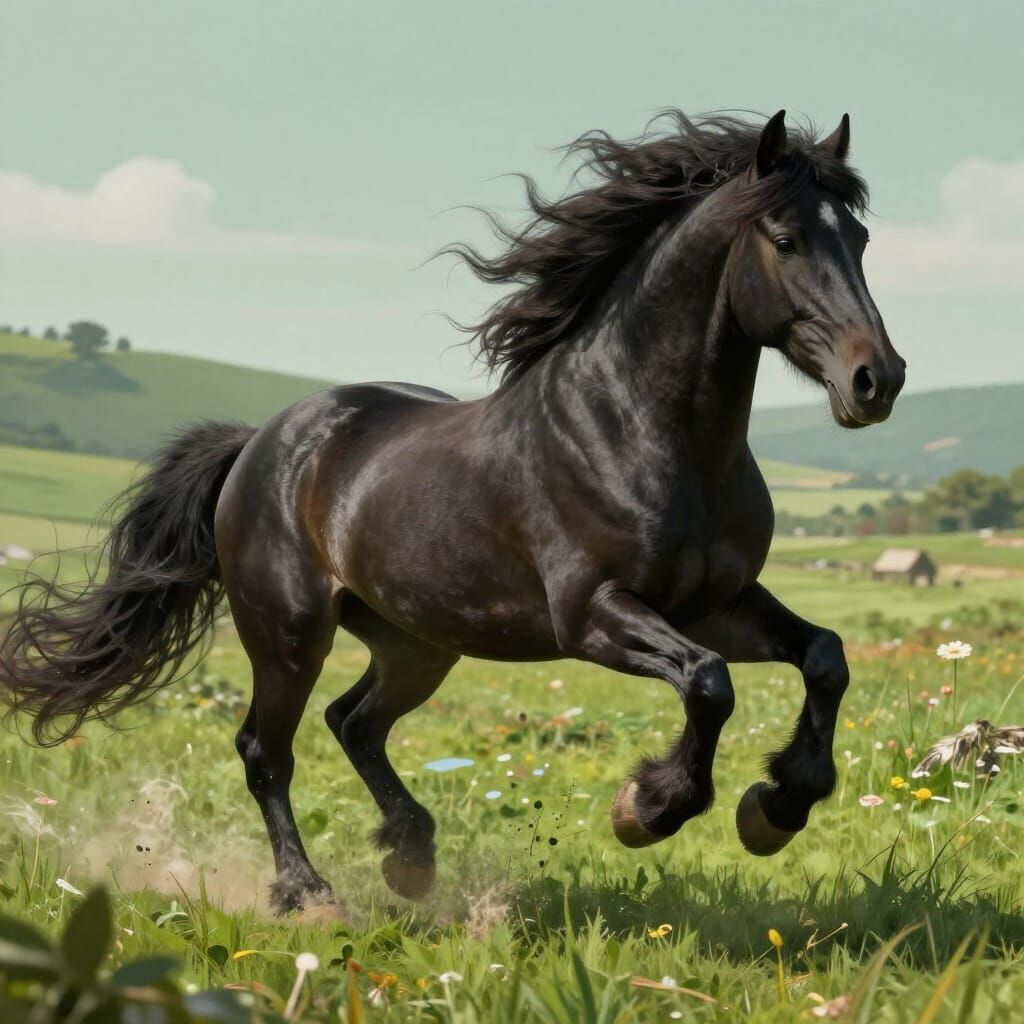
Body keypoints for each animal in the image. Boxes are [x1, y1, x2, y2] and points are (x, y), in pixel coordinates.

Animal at [1, 110, 905, 915]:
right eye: (784, 239)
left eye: (859, 240)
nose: (879, 379)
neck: (649, 431)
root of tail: (260, 441)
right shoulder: (596, 615)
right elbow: (710, 685)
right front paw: (648, 809)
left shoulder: (717, 604)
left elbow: (823, 658)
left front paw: (776, 808)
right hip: (289, 633)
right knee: (267, 749)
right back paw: (308, 895)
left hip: (418, 642)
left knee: (353, 722)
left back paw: (410, 856)